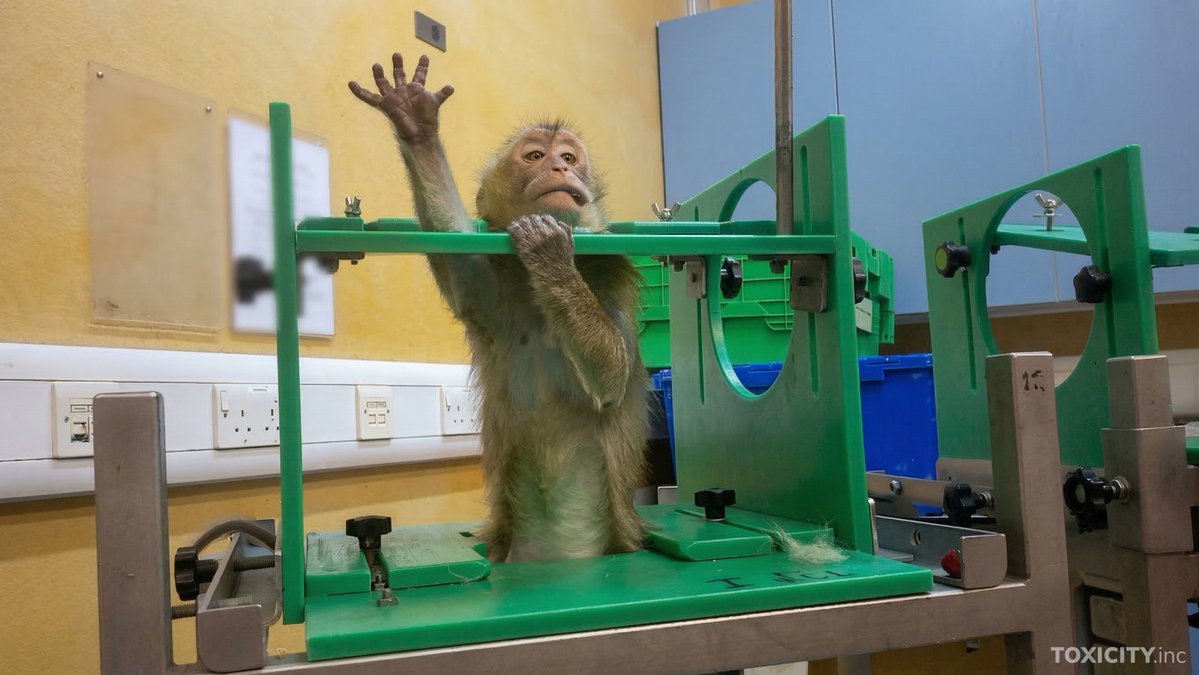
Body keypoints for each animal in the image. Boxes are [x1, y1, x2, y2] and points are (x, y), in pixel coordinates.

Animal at [350, 53, 648, 563]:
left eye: (569, 157)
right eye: (535, 156)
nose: (560, 168)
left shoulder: (608, 272)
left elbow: (610, 378)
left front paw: (552, 256)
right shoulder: (490, 286)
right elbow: (452, 246)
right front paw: (415, 122)